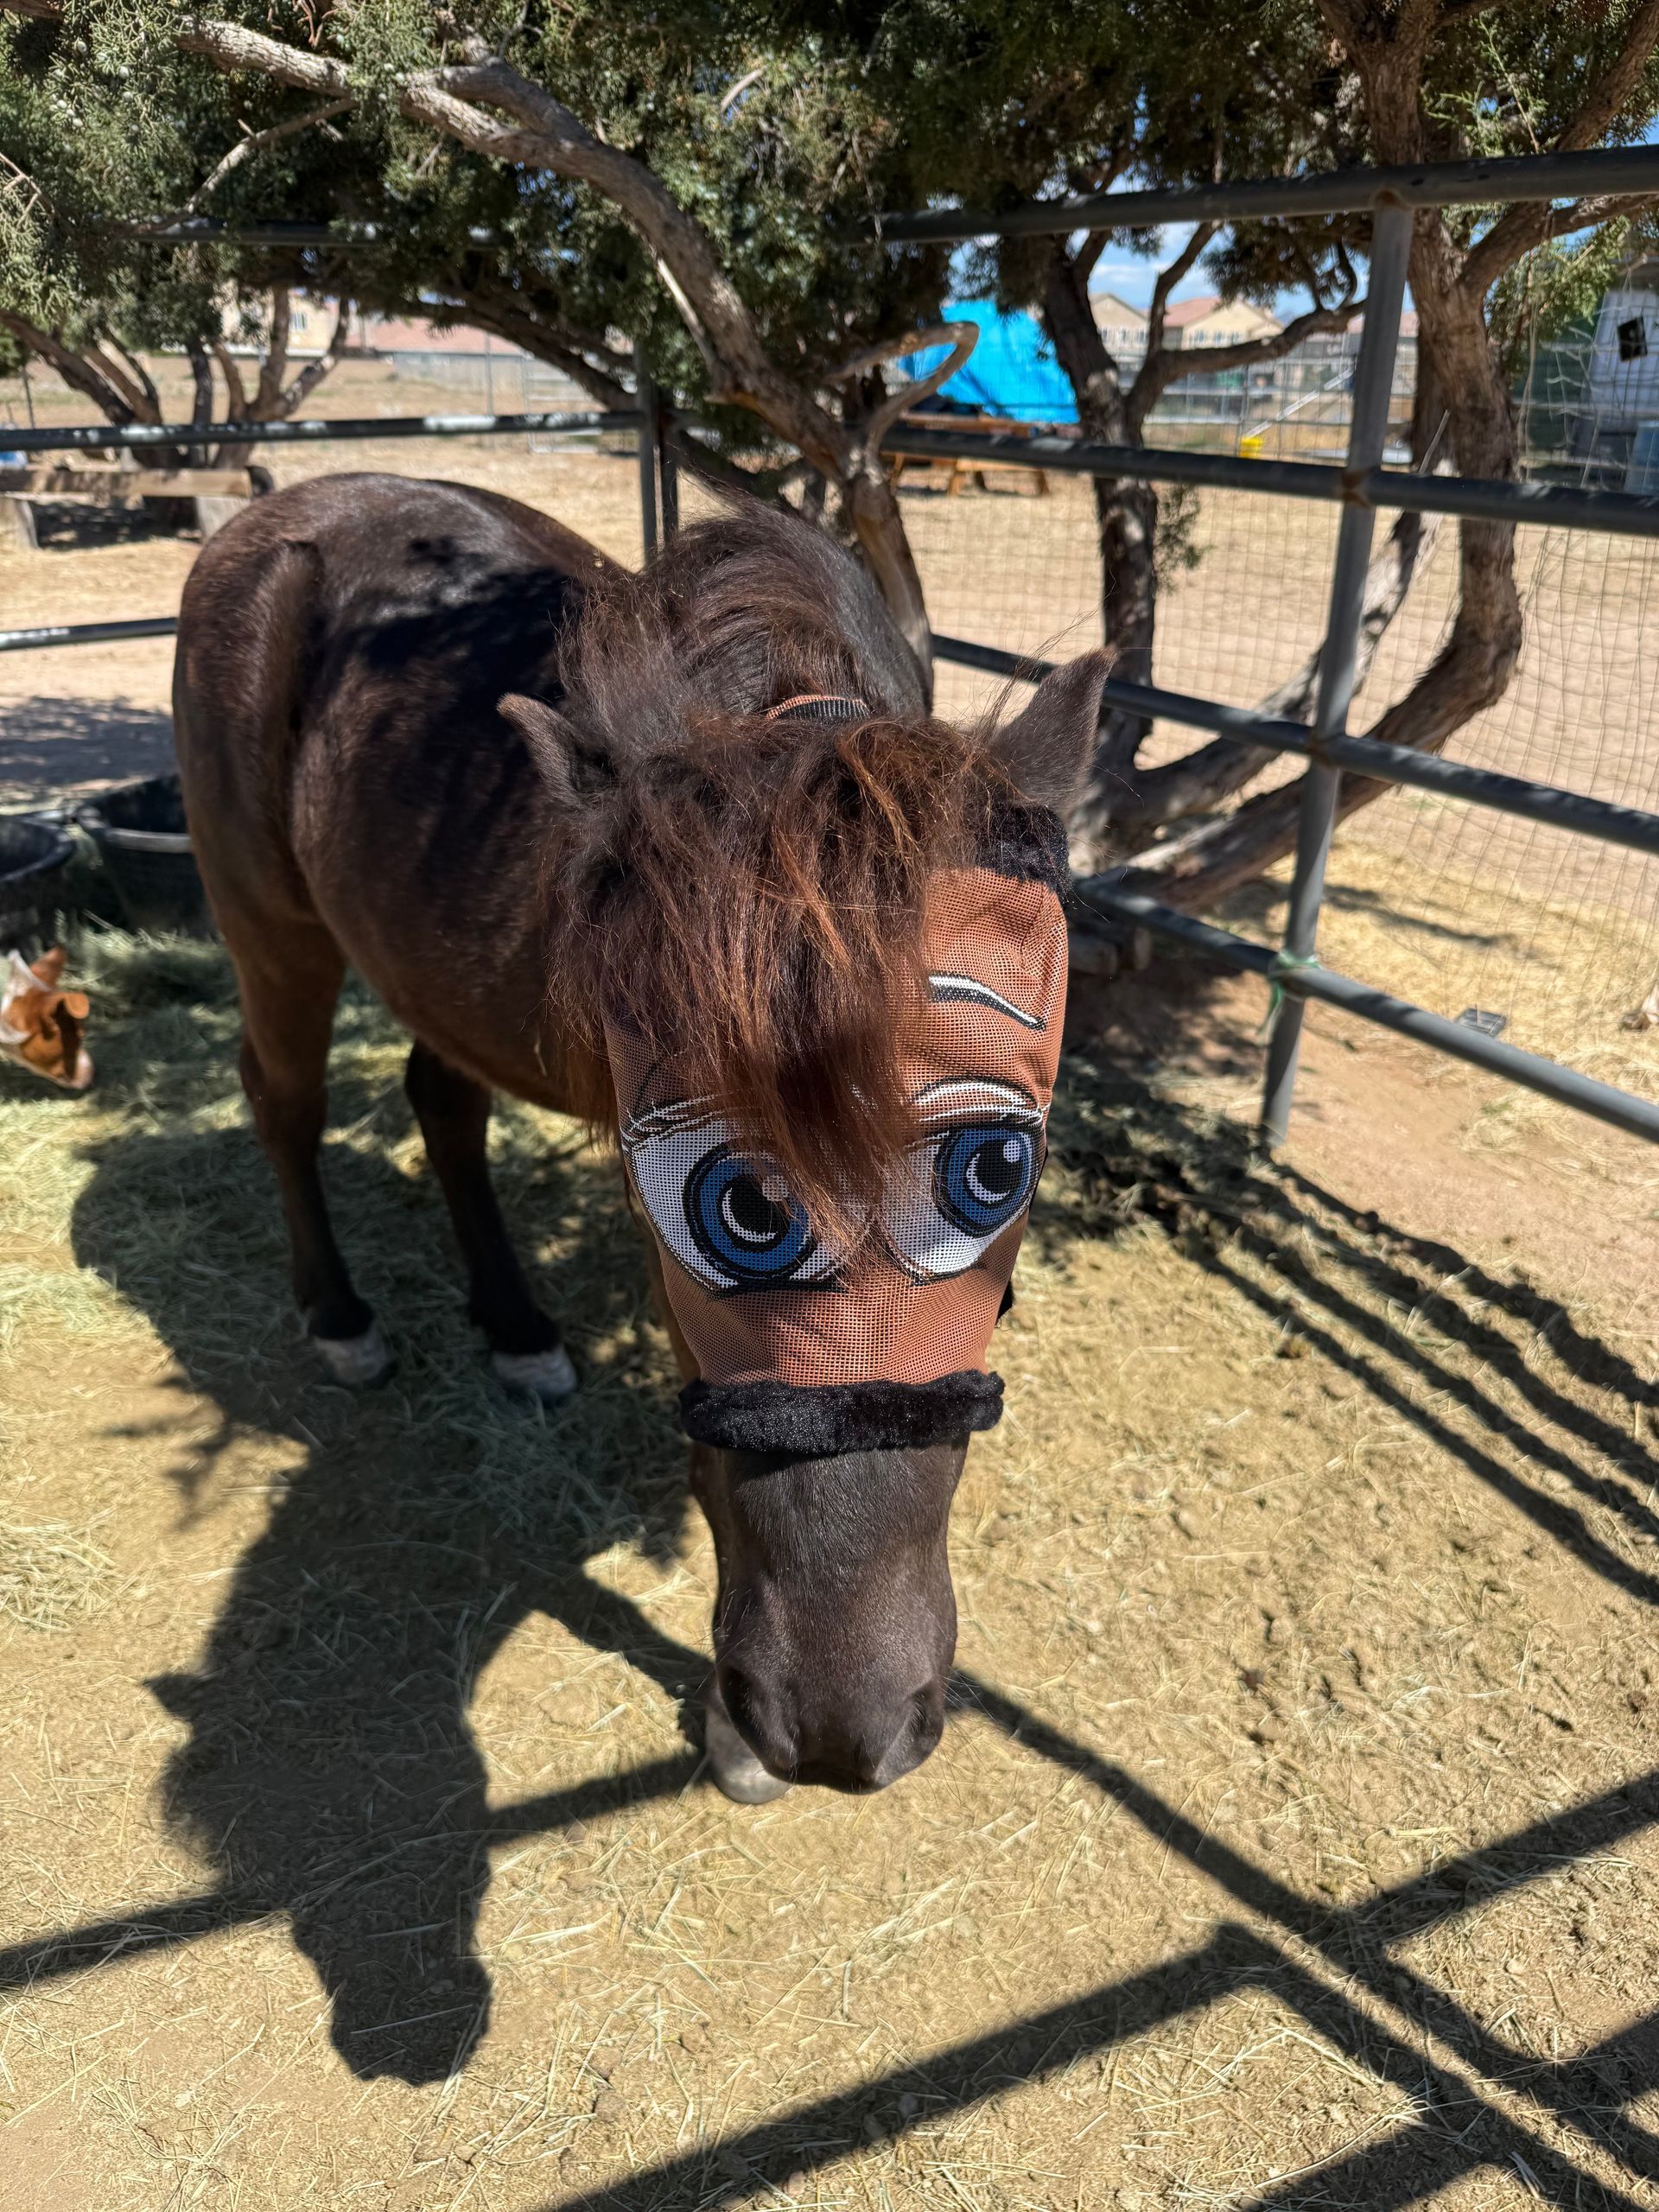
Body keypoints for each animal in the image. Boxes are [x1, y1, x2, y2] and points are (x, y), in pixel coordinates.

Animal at [172, 473, 1108, 1801]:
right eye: (741, 1212)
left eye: (998, 1169)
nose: (845, 1732)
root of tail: (279, 507)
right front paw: (732, 1735)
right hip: (269, 920)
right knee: (284, 1098)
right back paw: (342, 1318)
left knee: (441, 1101)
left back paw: (516, 1331)